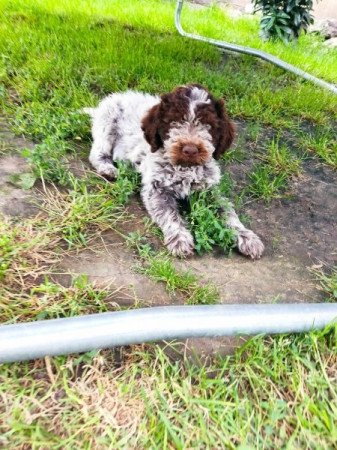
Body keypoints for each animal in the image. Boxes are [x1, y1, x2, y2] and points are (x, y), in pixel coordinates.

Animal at [84, 84, 262, 258]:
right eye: (174, 121)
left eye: (208, 125)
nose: (190, 150)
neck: (185, 167)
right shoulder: (157, 189)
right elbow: (170, 215)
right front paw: (179, 239)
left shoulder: (209, 190)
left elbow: (228, 212)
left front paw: (246, 236)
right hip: (107, 123)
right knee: (97, 152)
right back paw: (108, 168)